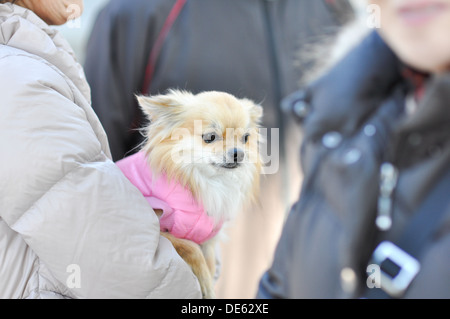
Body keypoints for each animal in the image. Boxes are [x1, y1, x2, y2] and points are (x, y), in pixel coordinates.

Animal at [117, 89, 264, 298]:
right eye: (210, 137)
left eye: (245, 138)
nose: (239, 153)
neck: (204, 179)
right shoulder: (159, 228)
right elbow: (191, 247)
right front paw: (204, 284)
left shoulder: (209, 237)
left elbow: (209, 261)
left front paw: (210, 284)